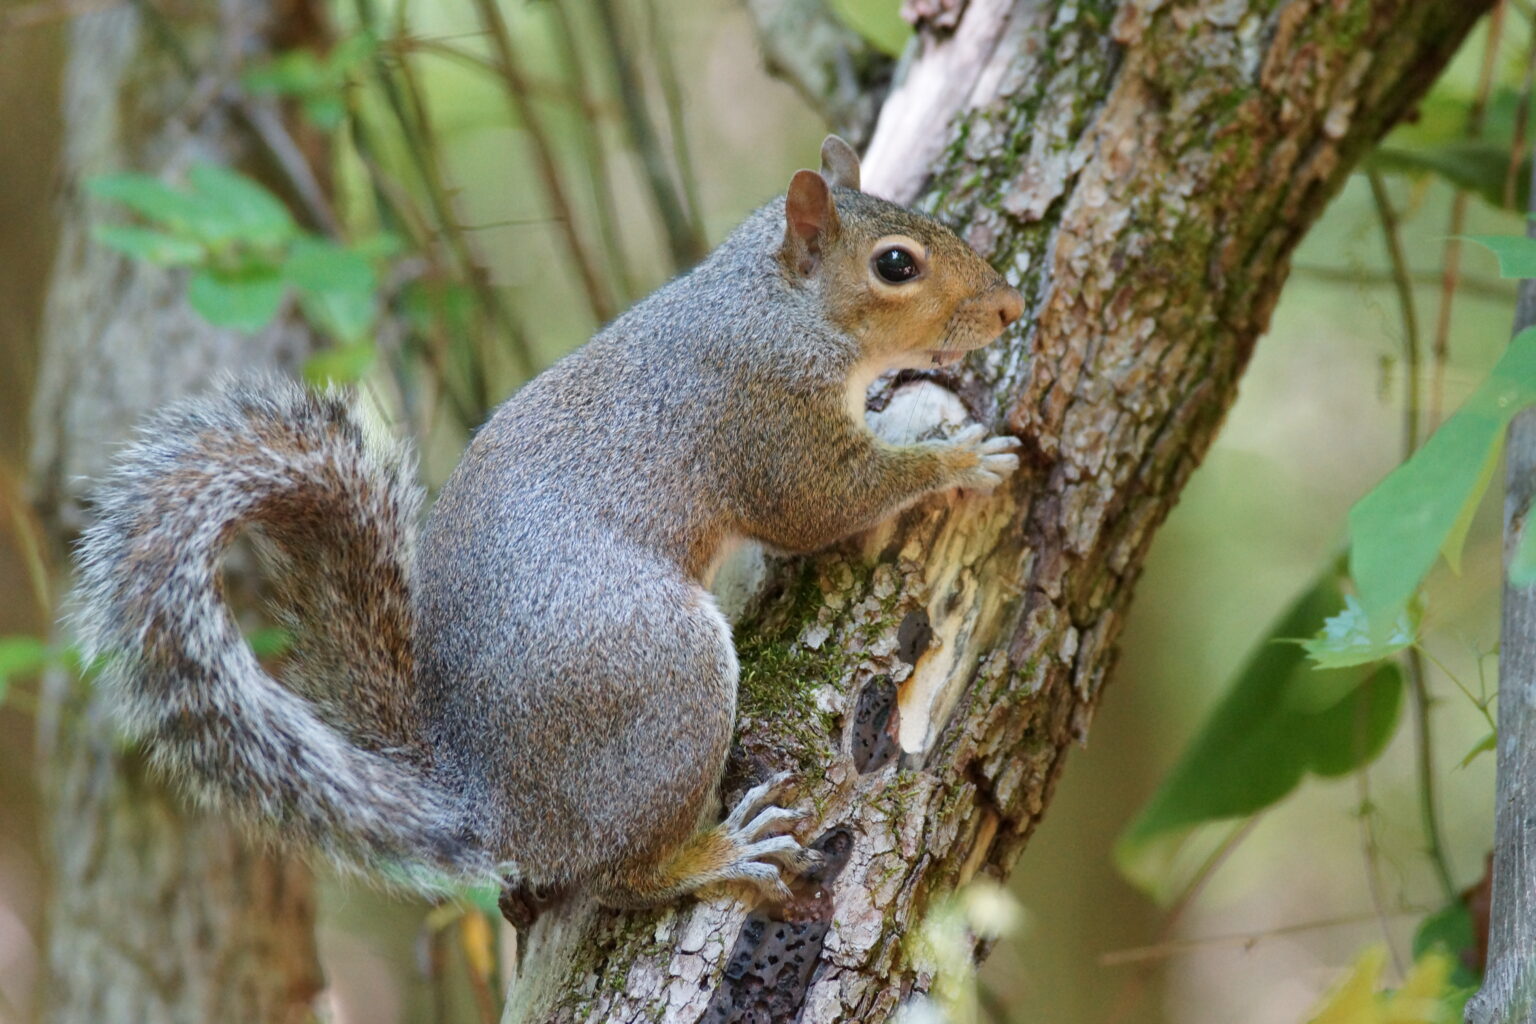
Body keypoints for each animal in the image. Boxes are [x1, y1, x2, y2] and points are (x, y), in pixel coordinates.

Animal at [74, 135, 1032, 914]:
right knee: (617, 876)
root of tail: (490, 800)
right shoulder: (766, 420)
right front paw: (962, 460)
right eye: (897, 265)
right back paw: (715, 854)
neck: (779, 304)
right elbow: (825, 503)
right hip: (660, 677)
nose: (1010, 308)